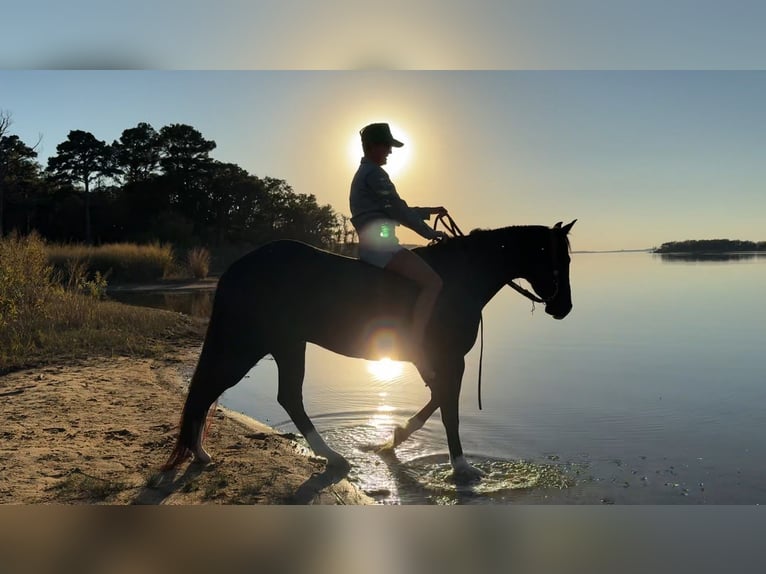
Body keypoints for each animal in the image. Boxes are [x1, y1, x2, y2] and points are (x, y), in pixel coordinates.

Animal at [162, 219, 576, 481]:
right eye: (561, 258)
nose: (564, 308)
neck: (462, 278)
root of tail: (238, 267)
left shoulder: (433, 361)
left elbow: (435, 401)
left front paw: (392, 439)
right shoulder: (450, 359)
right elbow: (448, 410)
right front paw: (460, 468)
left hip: (285, 344)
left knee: (272, 395)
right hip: (255, 343)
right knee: (218, 388)